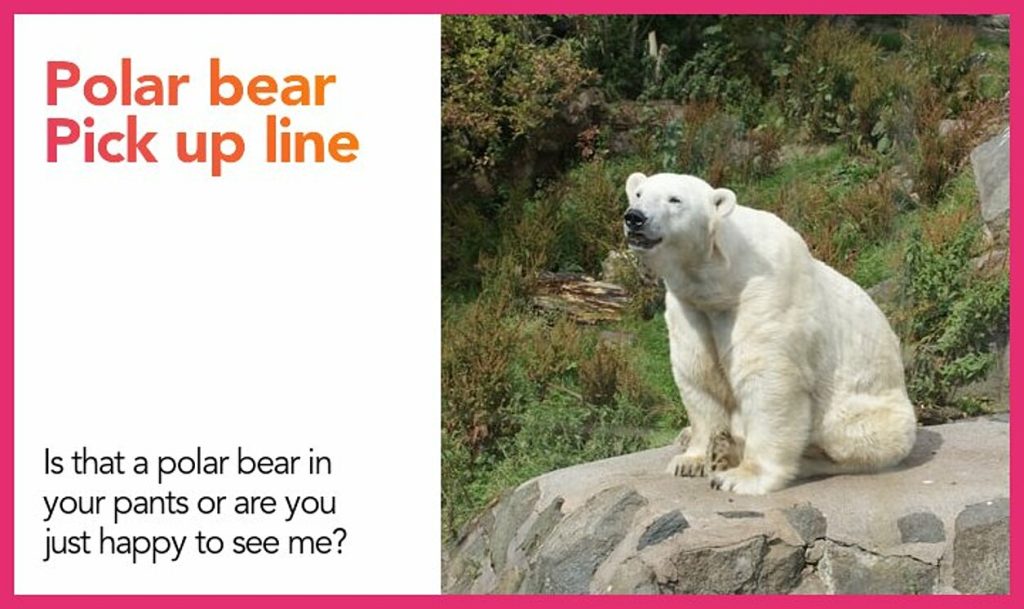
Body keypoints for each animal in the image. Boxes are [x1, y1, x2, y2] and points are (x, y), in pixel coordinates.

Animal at [622, 172, 917, 495]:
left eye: (675, 199)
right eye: (638, 193)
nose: (635, 218)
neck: (720, 279)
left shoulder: (765, 292)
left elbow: (767, 380)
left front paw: (740, 477)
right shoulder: (688, 307)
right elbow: (699, 376)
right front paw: (692, 460)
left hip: (865, 413)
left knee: (849, 442)